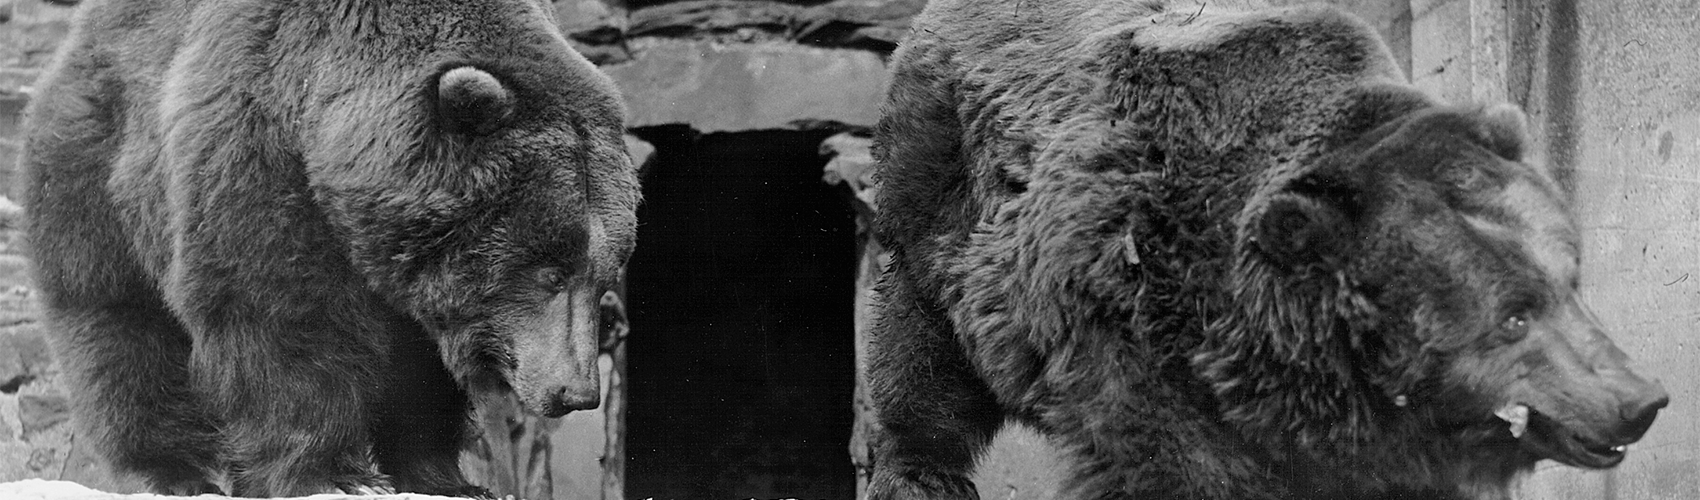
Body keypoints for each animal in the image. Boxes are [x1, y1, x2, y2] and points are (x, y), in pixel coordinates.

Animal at [16, 0, 639, 496]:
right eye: (549, 271)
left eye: (602, 275)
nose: (576, 391)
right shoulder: (258, 148)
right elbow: (288, 313)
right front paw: (334, 474)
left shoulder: (411, 266)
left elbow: (419, 366)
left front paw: (444, 477)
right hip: (100, 173)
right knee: (120, 326)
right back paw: (174, 470)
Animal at [870, 0, 1666, 500]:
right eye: (1513, 315)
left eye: (1571, 283)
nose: (1640, 399)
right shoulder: (1131, 315)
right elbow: (1172, 462)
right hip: (939, 208)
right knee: (921, 354)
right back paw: (921, 473)